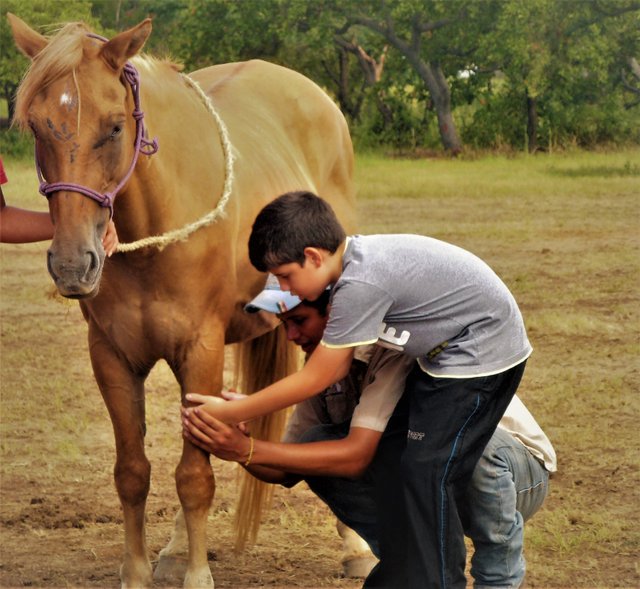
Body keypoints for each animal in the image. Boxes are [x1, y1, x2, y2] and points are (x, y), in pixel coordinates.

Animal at [8, 14, 356, 588]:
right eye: (36, 127)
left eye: (114, 127)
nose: (73, 264)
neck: (156, 232)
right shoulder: (113, 358)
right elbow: (133, 472)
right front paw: (137, 572)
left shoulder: (201, 351)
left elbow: (195, 476)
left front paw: (196, 576)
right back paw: (172, 548)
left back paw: (356, 546)